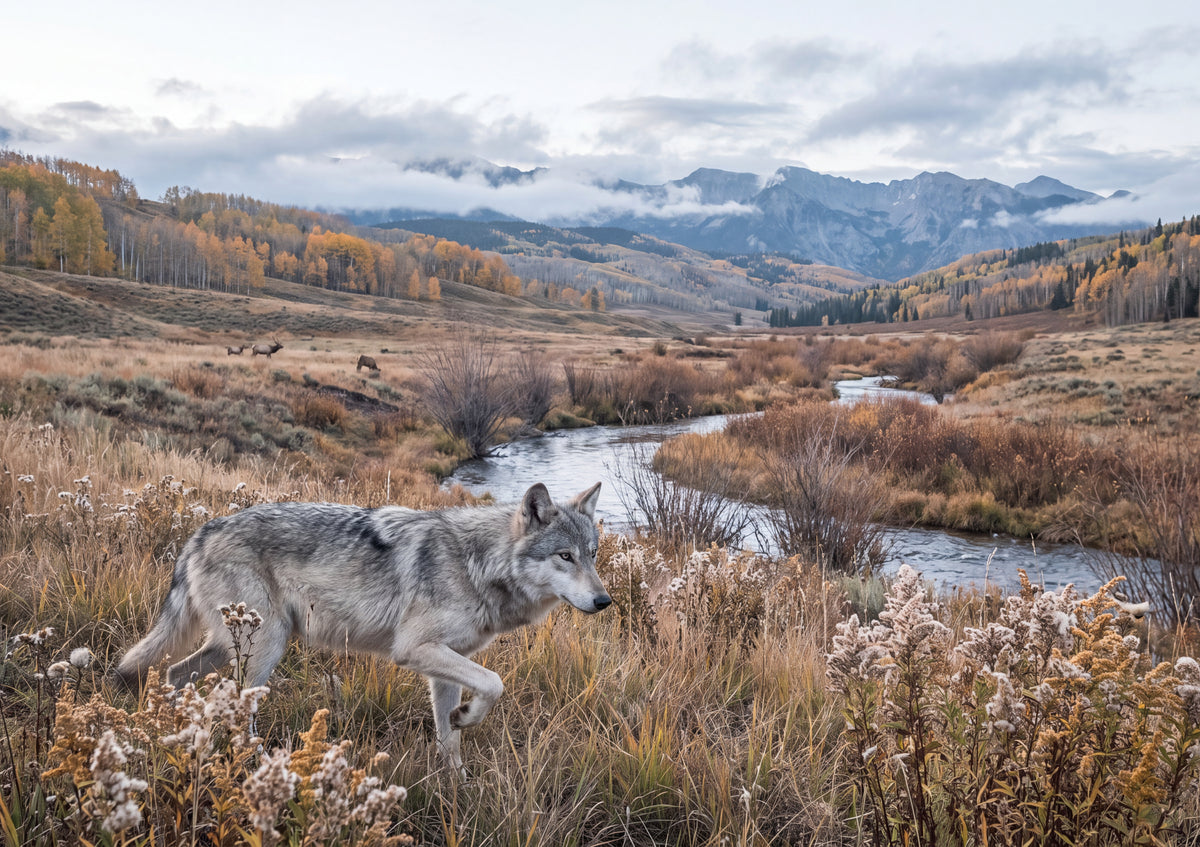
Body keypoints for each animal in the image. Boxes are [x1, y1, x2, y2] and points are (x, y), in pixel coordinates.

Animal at [114, 482, 609, 771]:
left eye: (593, 555)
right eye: (565, 556)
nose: (605, 601)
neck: (477, 564)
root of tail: (201, 532)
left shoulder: (445, 666)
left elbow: (449, 739)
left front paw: (457, 785)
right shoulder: (414, 650)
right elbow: (495, 683)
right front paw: (468, 717)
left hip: (236, 645)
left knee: (174, 673)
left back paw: (176, 730)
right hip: (265, 647)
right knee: (235, 710)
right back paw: (265, 766)